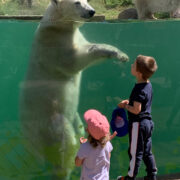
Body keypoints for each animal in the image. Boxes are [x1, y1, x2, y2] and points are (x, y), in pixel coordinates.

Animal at [20, 0, 128, 179]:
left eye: (86, 1)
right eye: (77, 3)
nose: (92, 12)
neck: (58, 24)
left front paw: (122, 55)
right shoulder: (53, 42)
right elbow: (72, 61)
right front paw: (113, 52)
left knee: (78, 129)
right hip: (50, 120)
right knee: (65, 142)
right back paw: (64, 169)